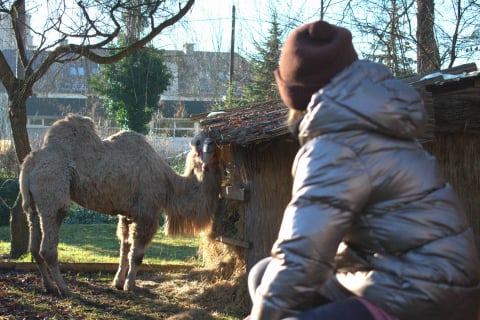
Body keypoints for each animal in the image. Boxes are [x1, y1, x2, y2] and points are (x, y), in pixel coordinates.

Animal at [18, 114, 221, 296]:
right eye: (198, 141)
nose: (212, 143)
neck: (169, 185)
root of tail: (29, 162)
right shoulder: (146, 213)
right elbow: (137, 255)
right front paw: (130, 286)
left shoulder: (127, 214)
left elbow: (124, 248)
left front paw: (117, 282)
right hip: (52, 192)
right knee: (48, 246)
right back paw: (66, 290)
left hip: (33, 204)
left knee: (34, 245)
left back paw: (49, 286)